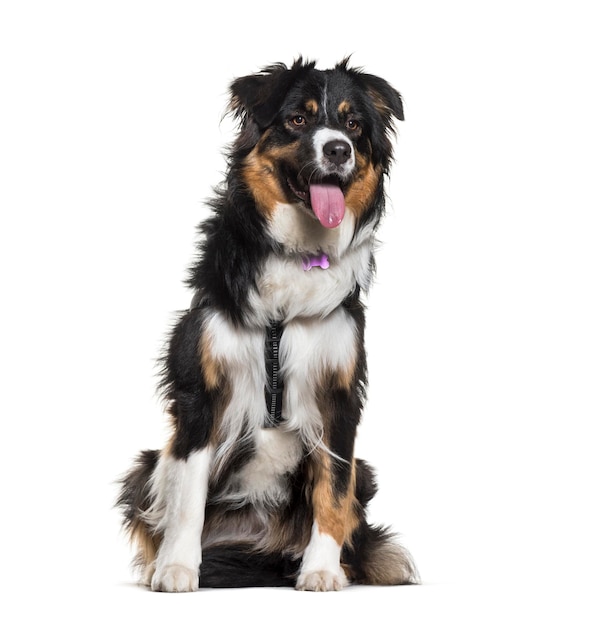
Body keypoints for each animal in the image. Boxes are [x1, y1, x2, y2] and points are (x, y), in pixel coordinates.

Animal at [117, 54, 420, 588]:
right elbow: (188, 493)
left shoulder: (339, 395)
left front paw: (321, 571)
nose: (338, 150)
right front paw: (177, 568)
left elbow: (332, 491)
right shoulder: (201, 393)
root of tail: (256, 544)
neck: (297, 253)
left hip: (365, 470)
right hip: (144, 465)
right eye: (297, 119)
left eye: (353, 126)